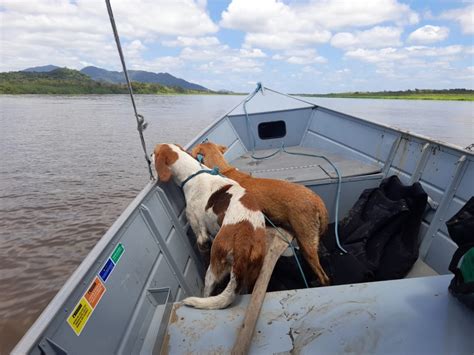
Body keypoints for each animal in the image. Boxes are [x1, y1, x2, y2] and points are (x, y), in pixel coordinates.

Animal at [153, 143, 266, 310]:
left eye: (154, 152)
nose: (148, 157)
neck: (193, 173)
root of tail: (244, 241)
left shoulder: (201, 234)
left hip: (213, 269)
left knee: (208, 292)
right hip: (251, 276)